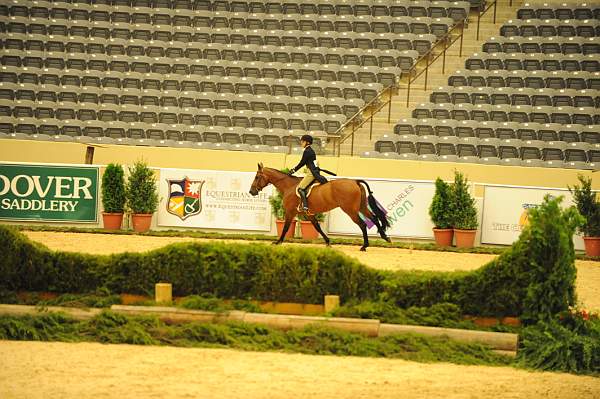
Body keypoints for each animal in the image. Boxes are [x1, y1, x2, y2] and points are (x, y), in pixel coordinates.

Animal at [247, 163, 392, 252]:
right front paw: (328, 242)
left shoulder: (290, 212)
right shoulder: (309, 214)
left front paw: (278, 242)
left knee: (362, 224)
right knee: (374, 218)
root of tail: (355, 181)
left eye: (257, 177)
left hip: (350, 210)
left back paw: (364, 246)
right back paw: (385, 237)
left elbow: (286, 228)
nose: (251, 191)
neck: (288, 186)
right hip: (361, 207)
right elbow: (317, 227)